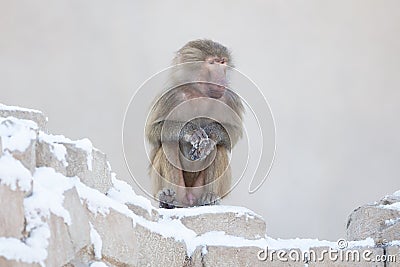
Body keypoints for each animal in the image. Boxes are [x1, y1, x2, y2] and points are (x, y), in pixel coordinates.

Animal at [145, 39, 244, 209]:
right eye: (212, 62)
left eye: (222, 62)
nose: (222, 78)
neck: (200, 93)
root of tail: (189, 201)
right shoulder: (171, 95)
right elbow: (153, 131)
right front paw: (191, 132)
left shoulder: (229, 98)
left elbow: (232, 134)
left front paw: (210, 136)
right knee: (169, 143)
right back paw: (168, 199)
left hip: (200, 190)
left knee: (219, 148)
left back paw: (210, 197)